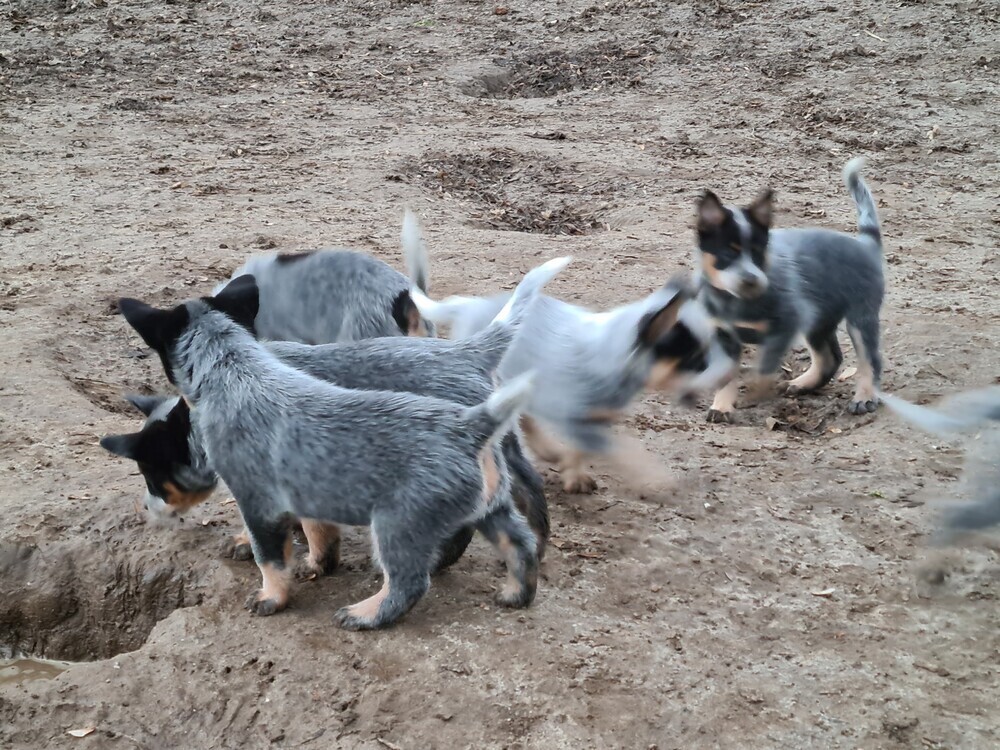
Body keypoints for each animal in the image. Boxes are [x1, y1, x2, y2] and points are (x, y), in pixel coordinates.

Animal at [111, 277, 555, 630]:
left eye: (152, 473)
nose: (146, 508)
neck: (235, 367)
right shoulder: (307, 484)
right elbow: (316, 531)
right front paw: (316, 563)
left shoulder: (259, 496)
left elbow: (269, 555)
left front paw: (270, 593)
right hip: (490, 491)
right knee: (517, 532)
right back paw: (518, 586)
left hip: (399, 521)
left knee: (412, 578)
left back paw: (368, 612)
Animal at [402, 212, 733, 493]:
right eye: (696, 360)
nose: (727, 373)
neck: (614, 356)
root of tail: (469, 305)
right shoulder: (577, 421)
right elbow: (628, 451)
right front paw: (658, 478)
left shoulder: (594, 421)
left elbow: (581, 450)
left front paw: (574, 474)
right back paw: (547, 450)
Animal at [694, 157, 885, 423]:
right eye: (727, 254)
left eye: (758, 253)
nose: (751, 279)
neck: (735, 302)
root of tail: (865, 245)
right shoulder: (723, 335)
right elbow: (727, 377)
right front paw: (721, 406)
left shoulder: (786, 325)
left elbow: (765, 368)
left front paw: (755, 392)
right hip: (818, 321)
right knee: (830, 358)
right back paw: (803, 384)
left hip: (860, 317)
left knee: (870, 360)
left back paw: (865, 397)